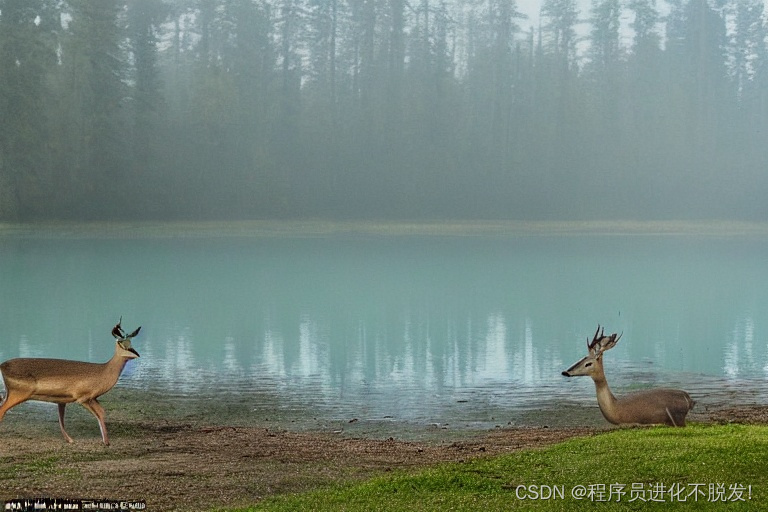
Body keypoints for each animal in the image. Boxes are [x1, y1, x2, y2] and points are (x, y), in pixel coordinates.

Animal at [0, 320, 141, 444]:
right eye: (120, 343)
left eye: (131, 342)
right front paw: (105, 442)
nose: (136, 354)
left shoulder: (79, 400)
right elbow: (99, 413)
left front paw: (73, 440)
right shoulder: (83, 399)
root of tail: (2, 366)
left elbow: (100, 412)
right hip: (17, 395)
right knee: (2, 411)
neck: (102, 371)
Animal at [560, 326, 692, 426]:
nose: (565, 372)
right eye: (581, 358)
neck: (615, 408)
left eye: (588, 363)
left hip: (677, 419)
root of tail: (689, 399)